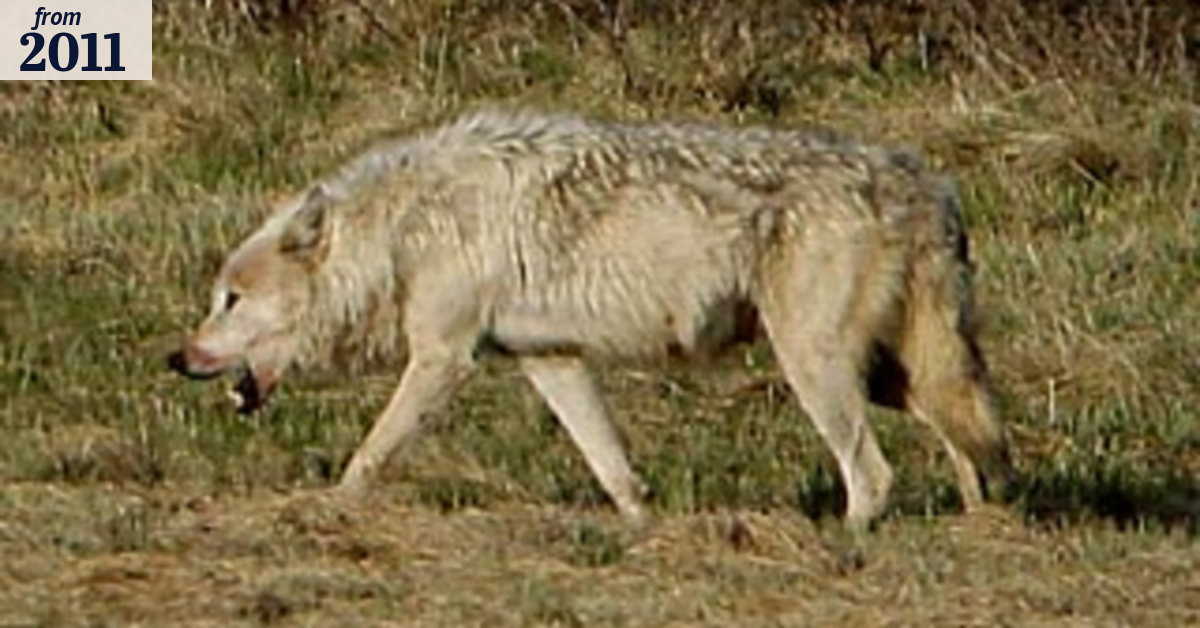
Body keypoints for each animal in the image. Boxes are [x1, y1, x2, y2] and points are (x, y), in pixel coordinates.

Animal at [167, 109, 1013, 529]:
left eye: (230, 300)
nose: (177, 358)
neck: (404, 231)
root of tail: (926, 181)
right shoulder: (552, 360)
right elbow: (612, 467)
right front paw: (642, 527)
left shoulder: (442, 359)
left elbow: (369, 454)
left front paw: (328, 511)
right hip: (888, 374)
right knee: (968, 436)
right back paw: (982, 525)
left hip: (818, 369)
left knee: (873, 472)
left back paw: (847, 544)